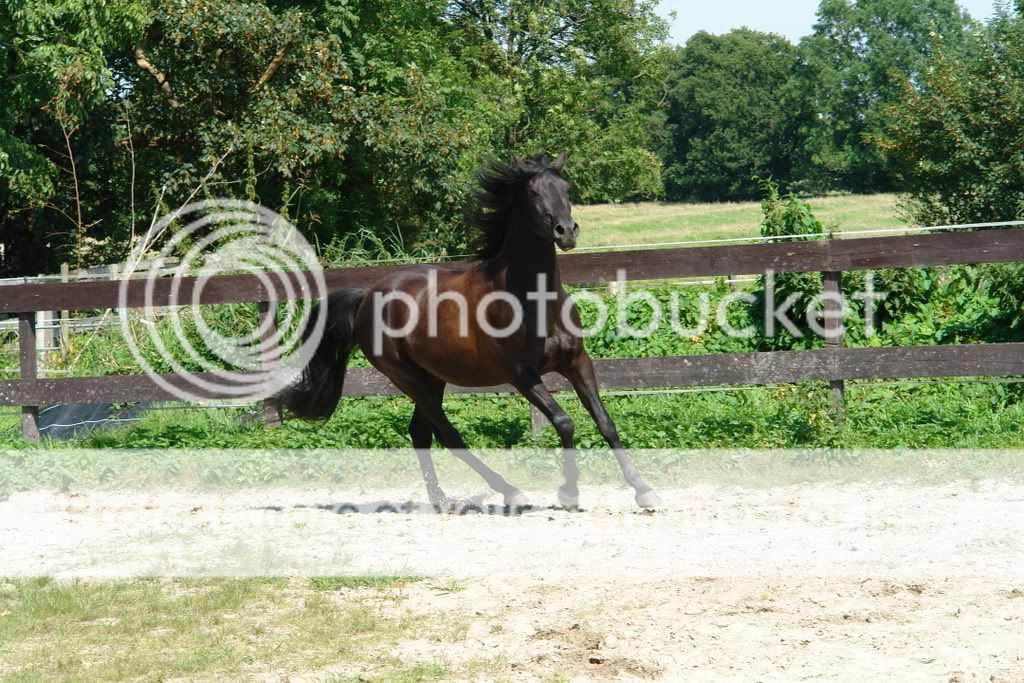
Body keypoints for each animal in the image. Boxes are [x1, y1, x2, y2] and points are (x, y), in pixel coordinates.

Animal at [284, 153, 659, 507]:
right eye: (534, 193)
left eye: (567, 189)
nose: (566, 232)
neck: (533, 298)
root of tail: (367, 296)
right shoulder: (522, 374)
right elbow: (564, 422)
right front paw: (569, 492)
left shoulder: (577, 362)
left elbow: (605, 422)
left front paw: (644, 491)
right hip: (407, 378)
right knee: (449, 436)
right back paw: (510, 493)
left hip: (432, 378)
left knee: (420, 434)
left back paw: (442, 501)